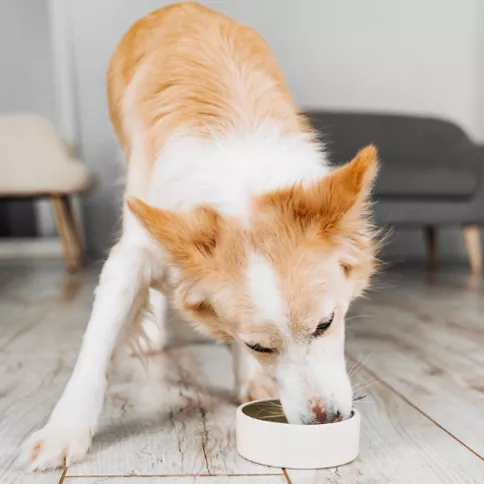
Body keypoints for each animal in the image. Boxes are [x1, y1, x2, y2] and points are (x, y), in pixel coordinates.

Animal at [21, 0, 378, 468]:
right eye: (260, 346)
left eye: (325, 324)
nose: (326, 421)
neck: (239, 184)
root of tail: (179, 6)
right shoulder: (131, 252)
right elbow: (97, 344)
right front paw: (63, 431)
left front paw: (252, 380)